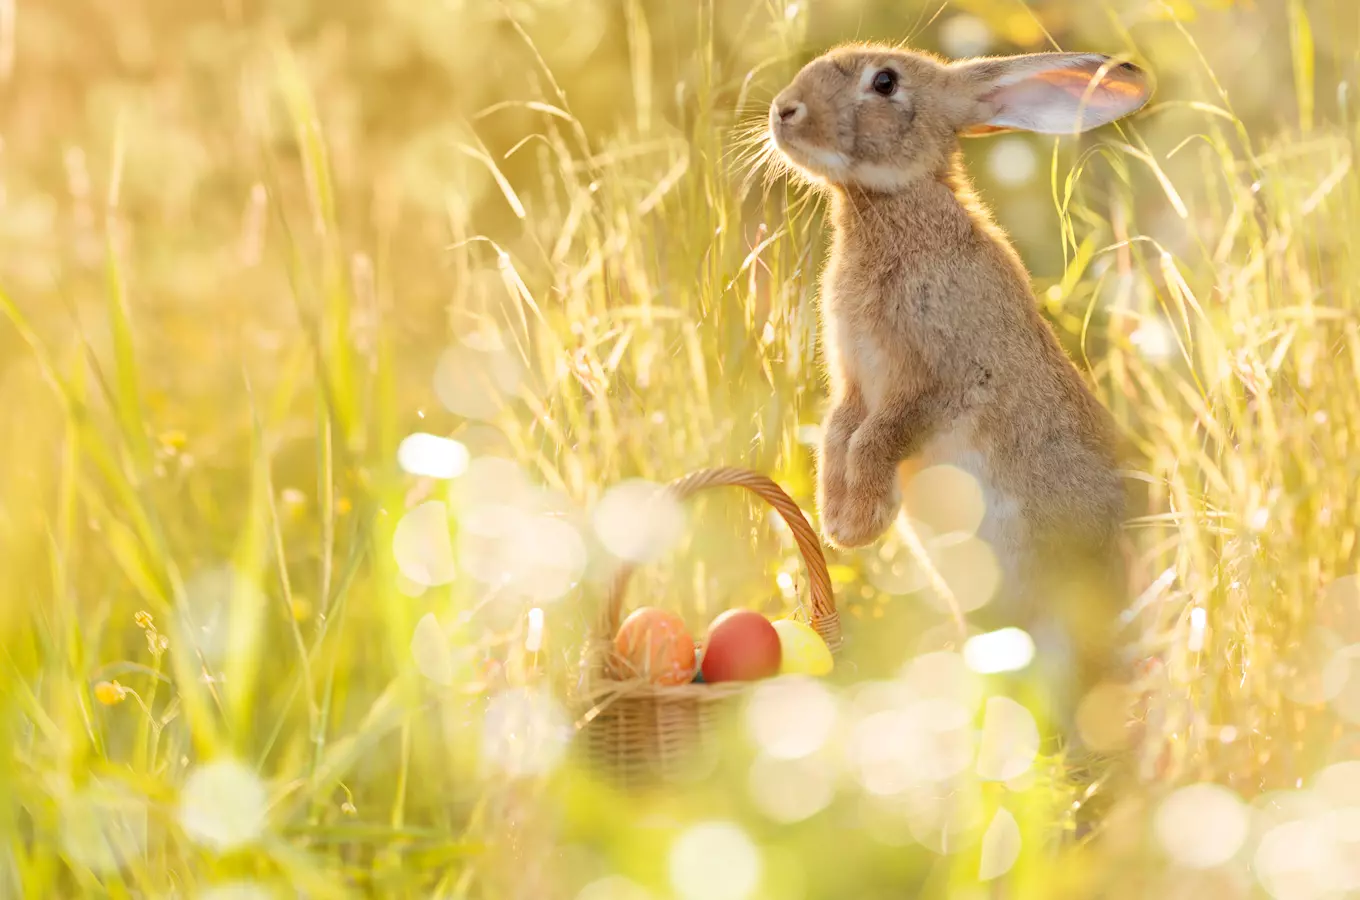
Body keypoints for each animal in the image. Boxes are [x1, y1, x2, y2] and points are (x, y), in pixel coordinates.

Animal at [772, 44, 1153, 728]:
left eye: (885, 82)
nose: (782, 110)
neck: (886, 203)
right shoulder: (853, 385)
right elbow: (841, 434)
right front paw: (837, 517)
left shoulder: (940, 382)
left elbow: (877, 437)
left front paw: (859, 524)